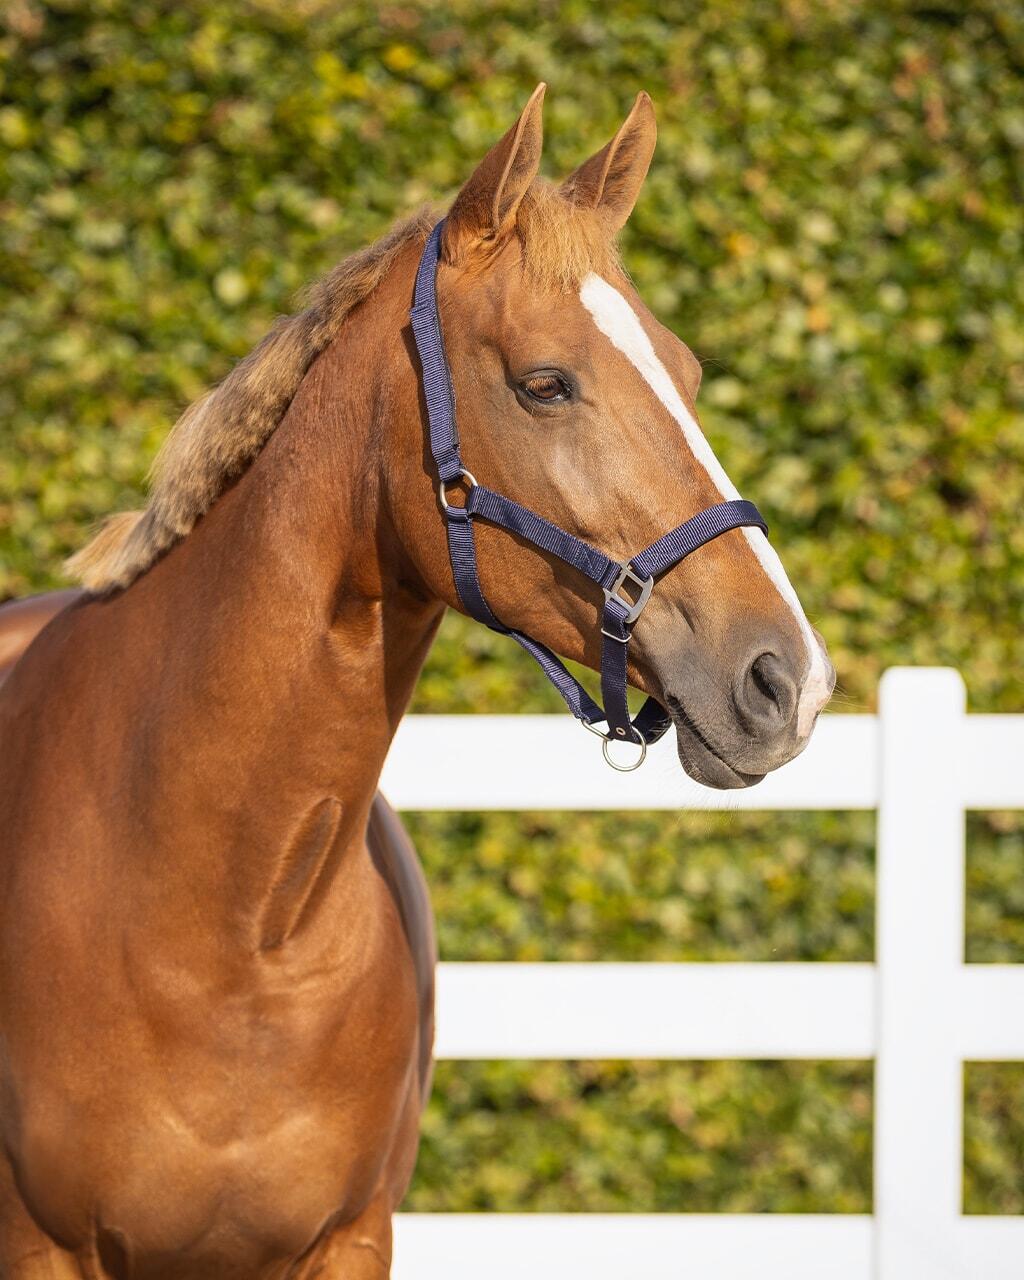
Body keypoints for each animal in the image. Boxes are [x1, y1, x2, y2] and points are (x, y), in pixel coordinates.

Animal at [0, 86, 833, 1277]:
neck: (237, 927)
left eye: (688, 375)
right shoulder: (45, 1246)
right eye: (544, 383)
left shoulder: (353, 1241)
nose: (786, 679)